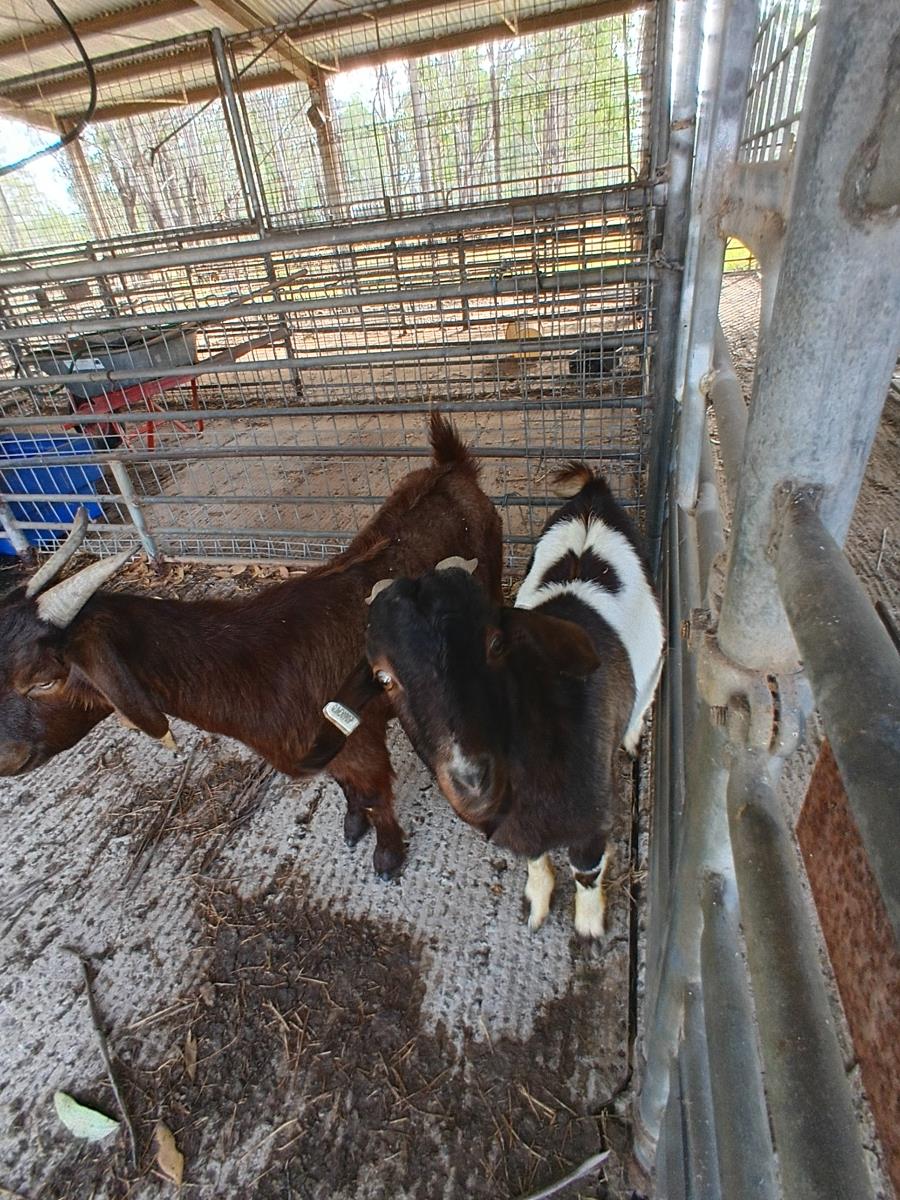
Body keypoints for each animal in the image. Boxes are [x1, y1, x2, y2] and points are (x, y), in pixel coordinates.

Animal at [0, 414, 502, 879]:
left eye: (43, 680)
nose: (6, 758)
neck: (252, 667)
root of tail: (449, 466)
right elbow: (346, 791)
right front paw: (352, 826)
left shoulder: (360, 744)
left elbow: (376, 797)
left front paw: (388, 857)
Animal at [319, 463, 663, 935]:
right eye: (383, 677)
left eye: (497, 643)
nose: (471, 778)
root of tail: (592, 497)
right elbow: (535, 857)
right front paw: (536, 903)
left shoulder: (594, 821)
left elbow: (586, 870)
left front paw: (590, 926)